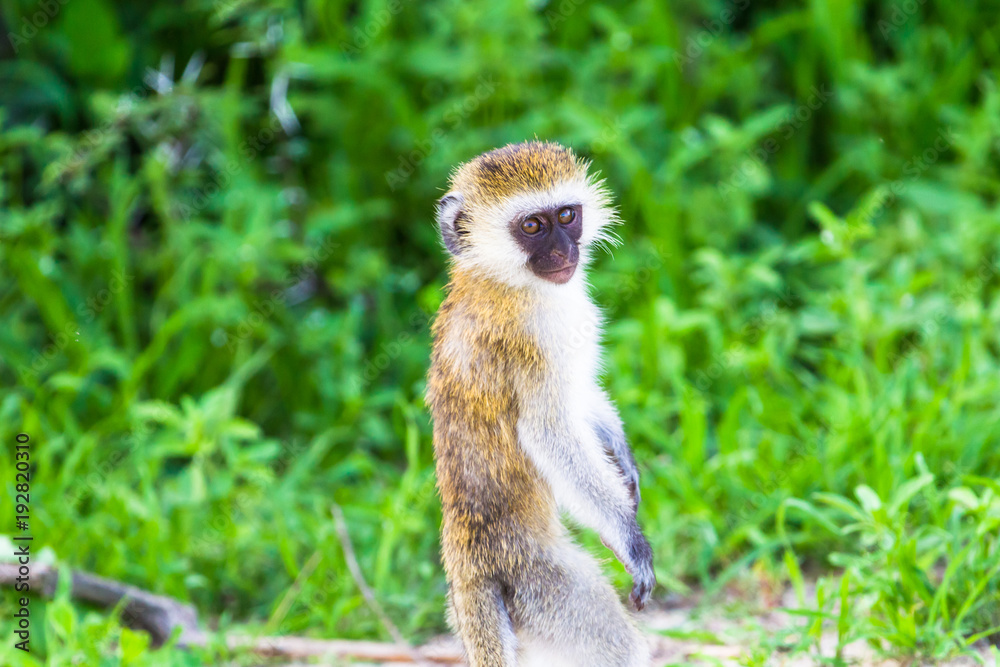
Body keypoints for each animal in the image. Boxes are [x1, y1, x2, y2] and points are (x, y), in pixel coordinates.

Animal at [426, 141, 655, 667]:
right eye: (532, 226)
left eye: (567, 215)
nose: (564, 252)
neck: (501, 279)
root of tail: (468, 565)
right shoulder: (531, 341)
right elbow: (548, 433)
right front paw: (630, 541)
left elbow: (581, 397)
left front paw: (624, 462)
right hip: (544, 582)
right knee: (616, 647)